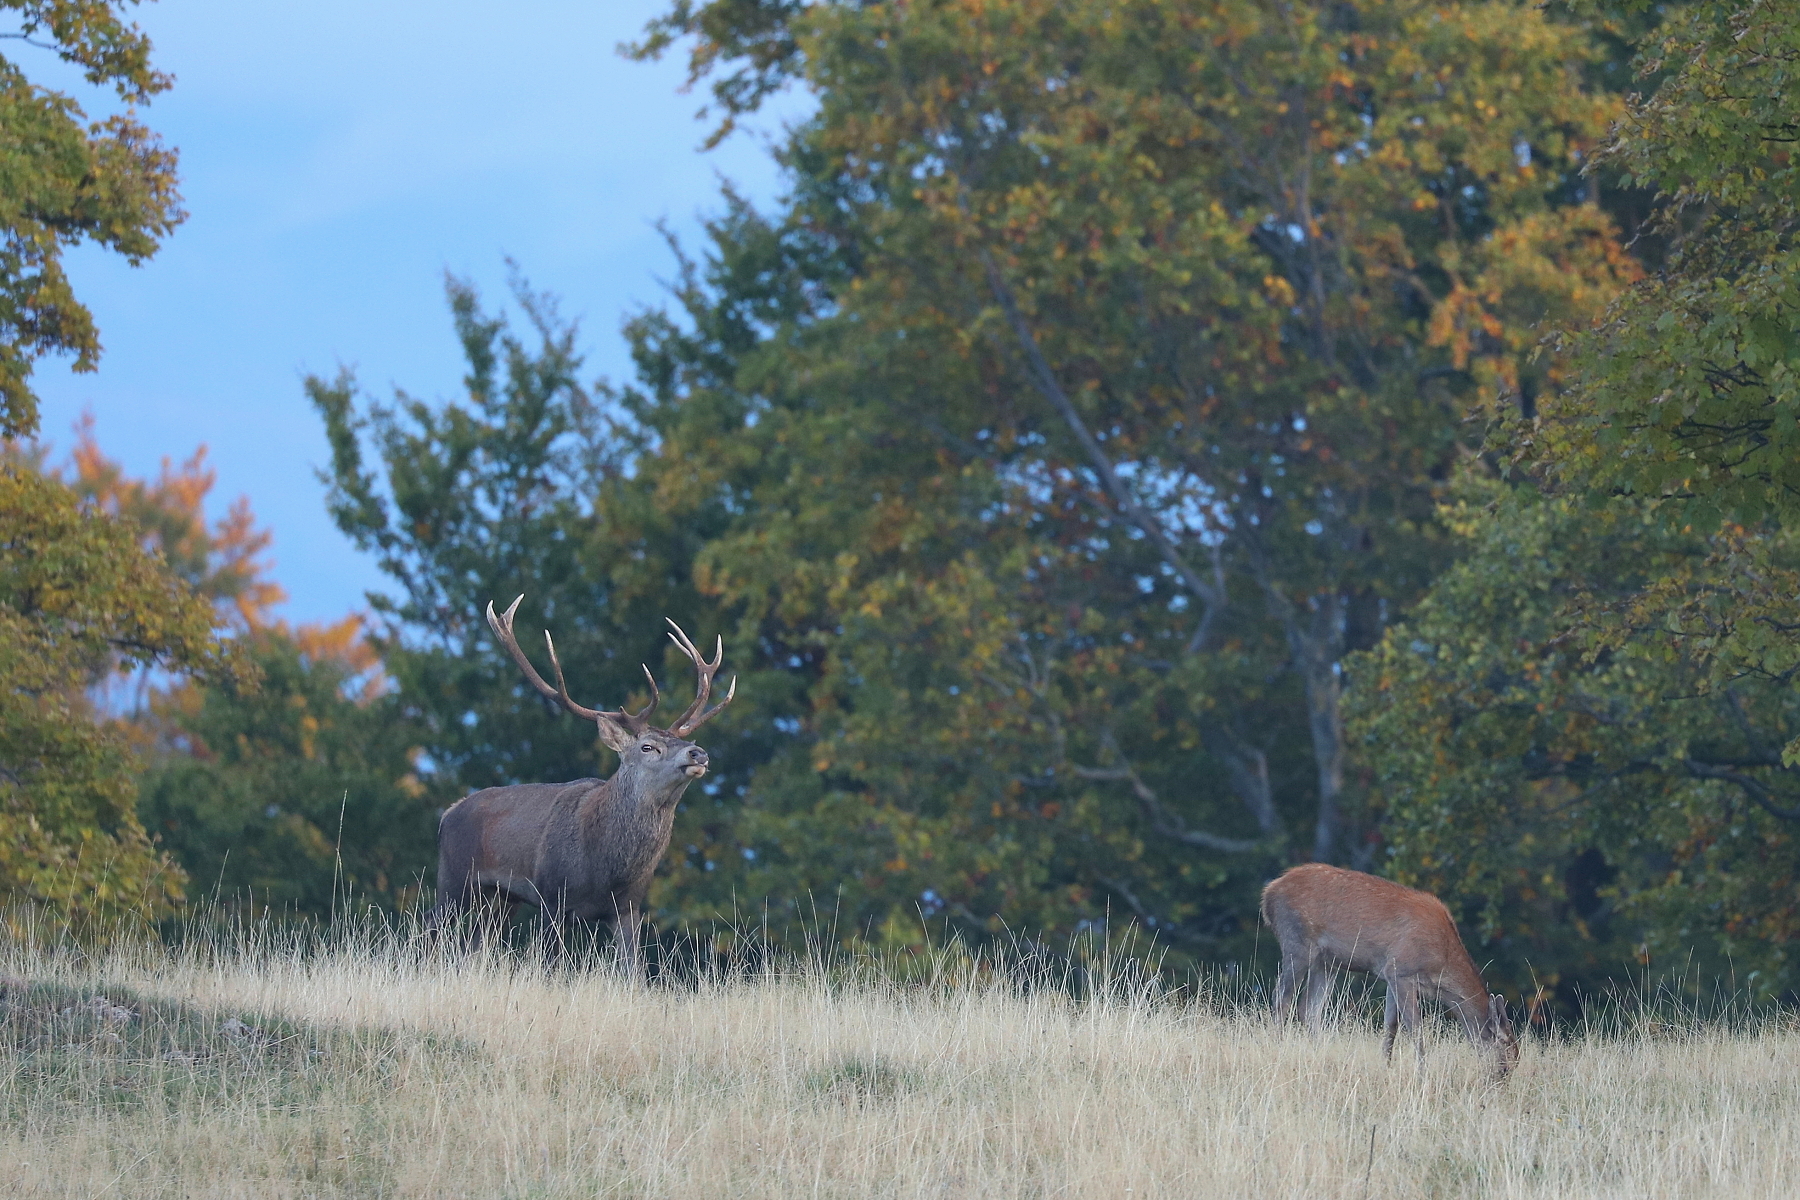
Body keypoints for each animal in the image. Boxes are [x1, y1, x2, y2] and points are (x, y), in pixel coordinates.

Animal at [424, 597, 734, 978]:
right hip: (454, 878)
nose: (698, 752)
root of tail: (447, 814)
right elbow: (548, 965)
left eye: (685, 740)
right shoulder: (551, 896)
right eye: (648, 747)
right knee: (430, 928)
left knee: (474, 945)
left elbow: (634, 972)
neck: (605, 867)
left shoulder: (629, 906)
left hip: (500, 898)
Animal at [1267, 863, 1519, 1079]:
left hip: (1326, 961)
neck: (1441, 964)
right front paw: (1422, 1073)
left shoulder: (1390, 975)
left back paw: (1320, 1054)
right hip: (1297, 942)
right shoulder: (1401, 970)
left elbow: (1391, 1026)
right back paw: (1278, 1048)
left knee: (1309, 1008)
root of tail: (1269, 893)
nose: (1501, 1078)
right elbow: (1416, 1030)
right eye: (1505, 1047)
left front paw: (1386, 1066)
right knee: (1282, 998)